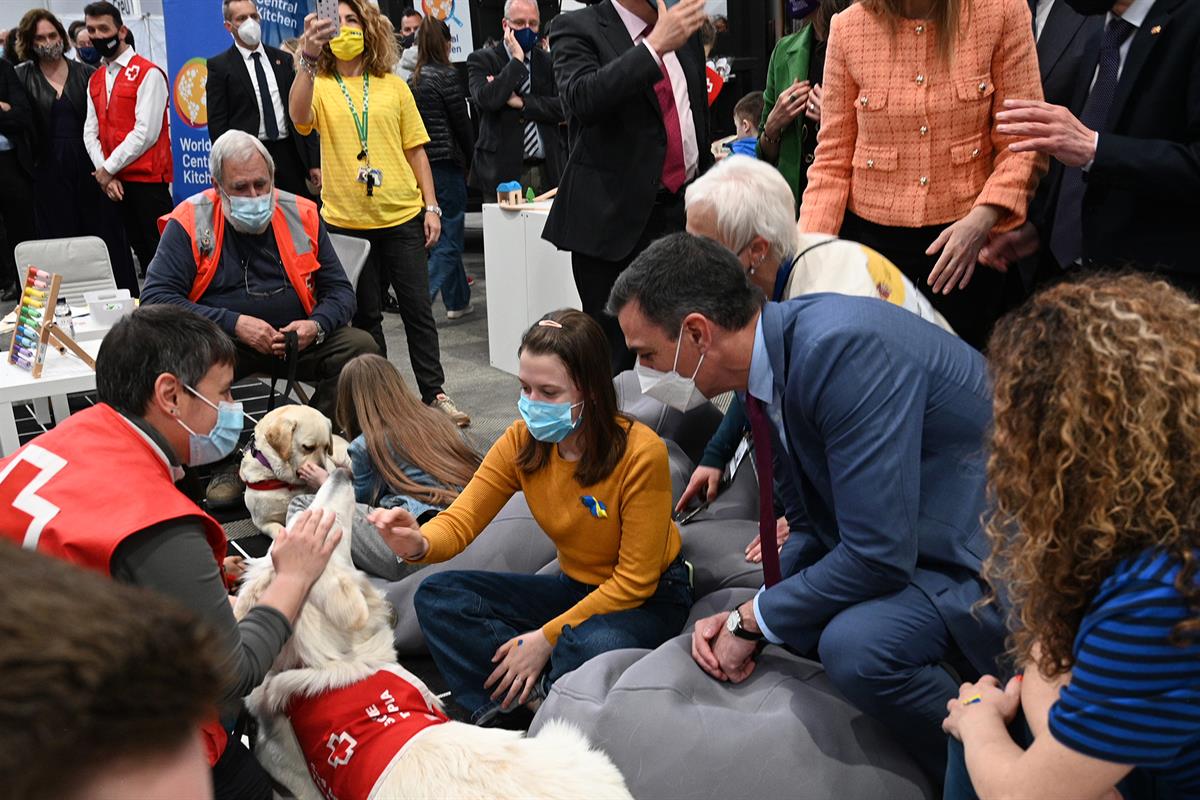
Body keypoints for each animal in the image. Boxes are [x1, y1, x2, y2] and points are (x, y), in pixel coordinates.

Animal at [238, 407, 350, 537]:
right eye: (308, 447)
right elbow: (279, 531)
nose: (323, 471)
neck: (287, 482)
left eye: (327, 447)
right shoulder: (263, 522)